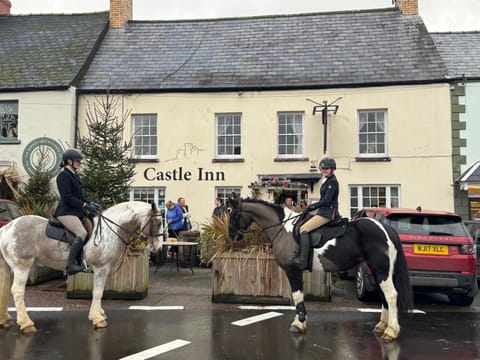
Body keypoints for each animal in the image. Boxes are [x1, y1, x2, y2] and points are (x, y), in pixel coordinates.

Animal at [0, 201, 163, 334]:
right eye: (158, 222)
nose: (158, 247)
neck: (110, 231)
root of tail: (8, 227)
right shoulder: (101, 268)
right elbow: (97, 292)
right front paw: (98, 318)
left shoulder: (104, 270)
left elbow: (100, 292)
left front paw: (99, 313)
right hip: (22, 266)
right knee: (17, 291)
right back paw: (26, 324)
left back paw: (6, 320)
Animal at [229, 195, 412, 342]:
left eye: (232, 213)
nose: (232, 235)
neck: (283, 228)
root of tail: (387, 229)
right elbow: (299, 295)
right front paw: (300, 321)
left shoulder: (292, 270)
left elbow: (297, 295)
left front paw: (298, 323)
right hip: (377, 271)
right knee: (383, 295)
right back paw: (381, 326)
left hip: (381, 270)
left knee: (391, 295)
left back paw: (391, 331)